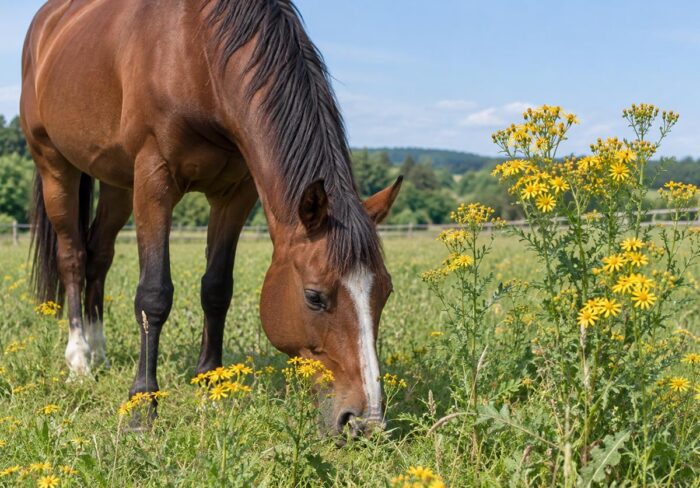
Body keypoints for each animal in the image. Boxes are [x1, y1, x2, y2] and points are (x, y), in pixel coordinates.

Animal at [20, 0, 402, 436]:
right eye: (314, 296)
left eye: (385, 292)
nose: (365, 422)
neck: (197, 50)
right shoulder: (154, 177)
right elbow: (153, 295)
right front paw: (142, 406)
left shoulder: (236, 192)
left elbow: (217, 288)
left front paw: (211, 382)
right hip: (54, 166)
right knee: (73, 259)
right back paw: (80, 359)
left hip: (117, 182)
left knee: (99, 256)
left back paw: (99, 351)